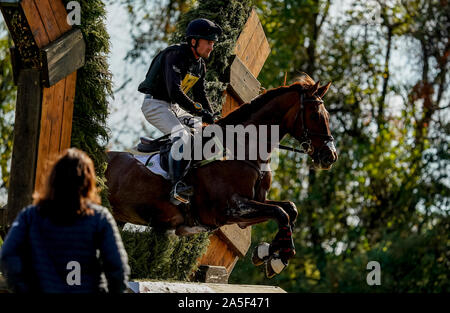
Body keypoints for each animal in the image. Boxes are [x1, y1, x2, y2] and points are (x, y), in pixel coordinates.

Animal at [106, 77, 338, 276]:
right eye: (316, 115)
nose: (330, 156)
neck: (244, 149)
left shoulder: (252, 206)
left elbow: (290, 209)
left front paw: (268, 253)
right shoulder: (231, 209)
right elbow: (280, 212)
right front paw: (278, 259)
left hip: (119, 218)